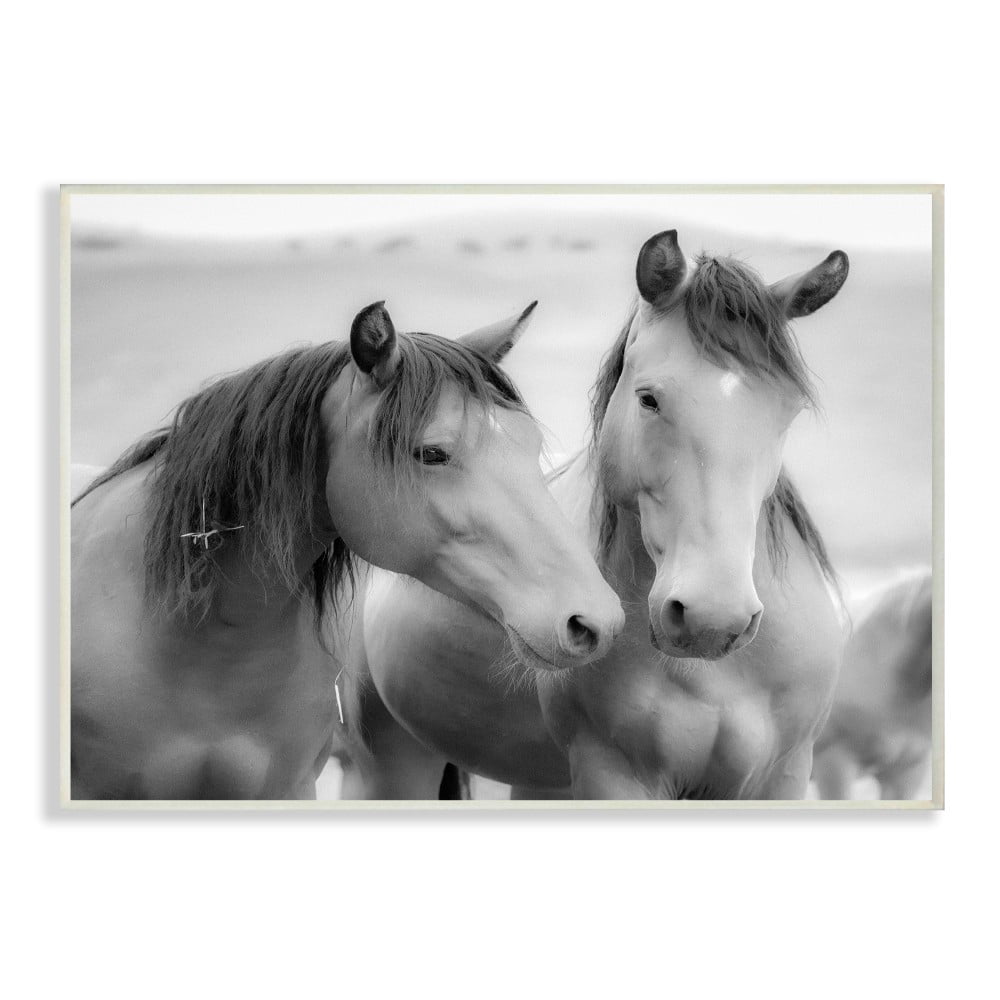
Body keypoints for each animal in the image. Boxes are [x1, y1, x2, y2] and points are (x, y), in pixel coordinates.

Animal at [339, 230, 850, 800]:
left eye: (789, 410)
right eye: (649, 399)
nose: (712, 618)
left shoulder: (783, 776)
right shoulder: (614, 774)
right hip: (389, 761)